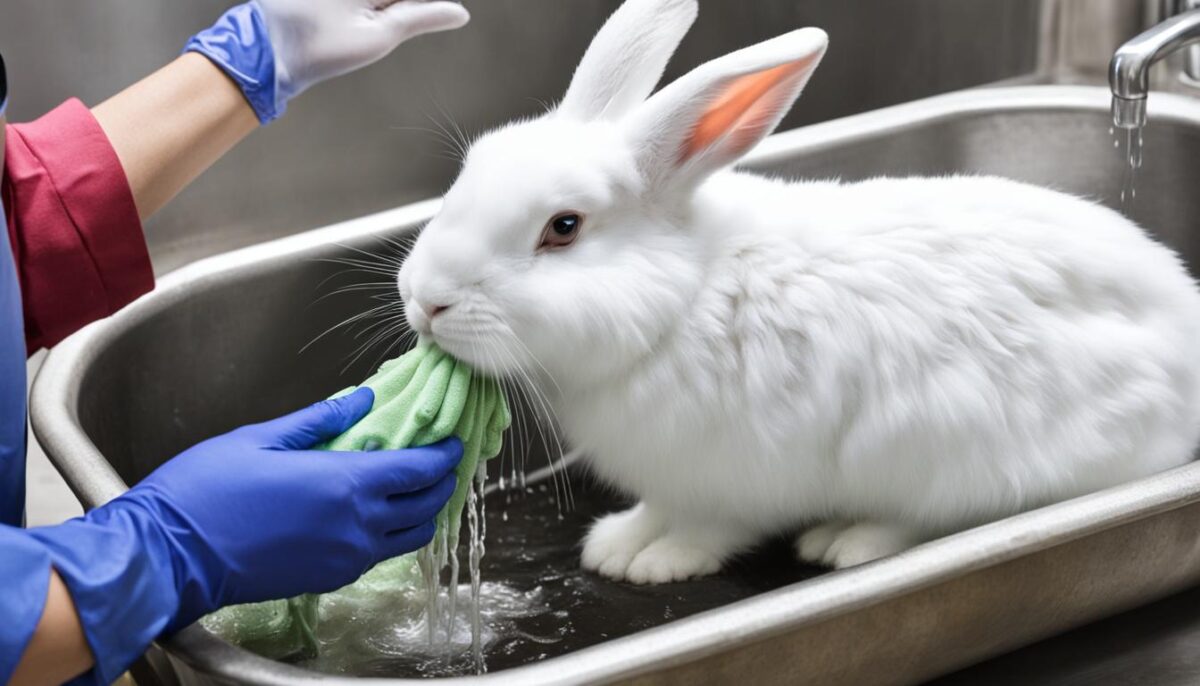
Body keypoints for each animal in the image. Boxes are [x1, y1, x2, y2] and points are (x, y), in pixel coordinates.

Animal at [398, 0, 1200, 580]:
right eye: (475, 162)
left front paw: (656, 564)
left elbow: (709, 528)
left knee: (935, 513)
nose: (425, 301)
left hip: (957, 455)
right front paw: (618, 544)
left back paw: (847, 542)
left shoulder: (731, 483)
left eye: (562, 228)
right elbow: (655, 509)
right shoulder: (671, 481)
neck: (681, 302)